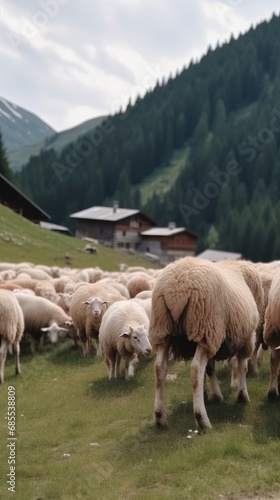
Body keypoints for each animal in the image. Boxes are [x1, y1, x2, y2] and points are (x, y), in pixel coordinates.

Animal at [149, 258, 258, 430]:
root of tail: (176, 292)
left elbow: (211, 368)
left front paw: (216, 396)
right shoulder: (246, 337)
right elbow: (242, 366)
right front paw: (242, 395)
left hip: (164, 330)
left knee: (160, 368)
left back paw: (160, 418)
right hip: (205, 325)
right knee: (196, 369)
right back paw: (202, 419)